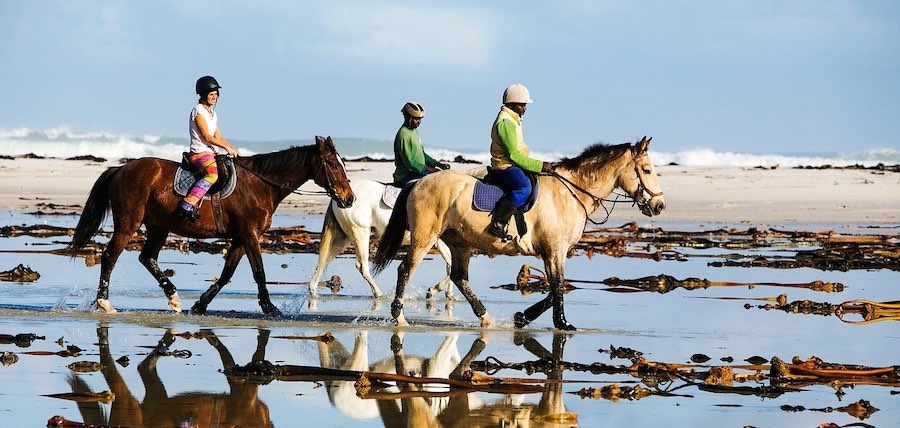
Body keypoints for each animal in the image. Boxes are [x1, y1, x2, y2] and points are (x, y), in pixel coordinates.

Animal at [66, 136, 355, 316]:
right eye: (332, 164)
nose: (349, 198)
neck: (261, 184)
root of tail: (119, 169)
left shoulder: (240, 237)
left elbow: (227, 274)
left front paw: (200, 305)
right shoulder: (250, 235)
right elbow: (259, 272)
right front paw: (270, 307)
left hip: (158, 226)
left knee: (147, 258)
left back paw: (173, 297)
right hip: (129, 224)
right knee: (110, 256)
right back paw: (104, 302)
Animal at [309, 178, 454, 301]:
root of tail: (340, 198)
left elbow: (451, 265)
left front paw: (449, 294)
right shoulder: (438, 241)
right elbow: (451, 265)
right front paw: (434, 290)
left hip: (343, 237)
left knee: (324, 261)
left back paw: (313, 290)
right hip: (360, 232)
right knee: (361, 265)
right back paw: (378, 294)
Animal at [372, 137, 665, 330]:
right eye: (647, 170)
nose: (659, 205)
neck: (571, 192)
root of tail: (418, 182)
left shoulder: (553, 253)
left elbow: (555, 289)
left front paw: (522, 317)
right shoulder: (554, 251)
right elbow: (557, 288)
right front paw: (561, 323)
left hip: (460, 243)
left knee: (459, 277)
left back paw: (485, 317)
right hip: (425, 237)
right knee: (406, 269)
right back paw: (399, 317)